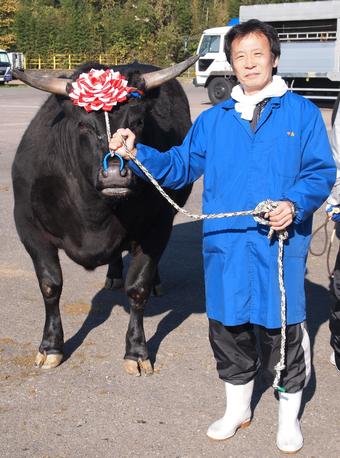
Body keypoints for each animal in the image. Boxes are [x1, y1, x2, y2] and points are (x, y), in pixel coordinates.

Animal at [11, 60, 195, 376]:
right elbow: (50, 285)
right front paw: (50, 347)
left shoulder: (157, 227)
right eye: (83, 124)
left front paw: (137, 352)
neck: (94, 216)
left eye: (138, 122)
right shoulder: (28, 227)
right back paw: (113, 275)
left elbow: (138, 289)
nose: (114, 175)